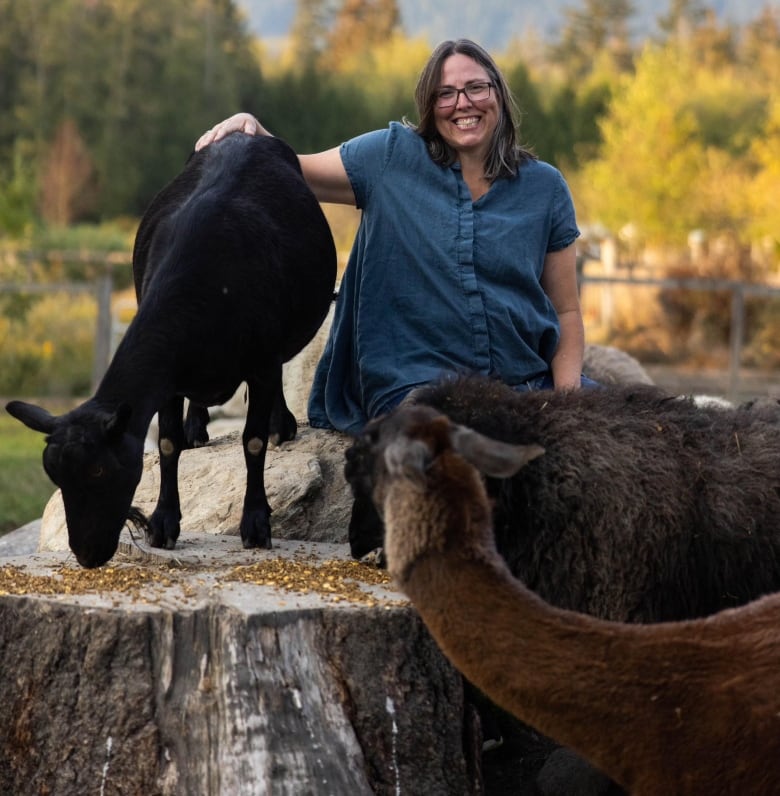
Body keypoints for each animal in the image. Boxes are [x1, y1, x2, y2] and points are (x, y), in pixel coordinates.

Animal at [6, 132, 336, 564]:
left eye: (99, 471)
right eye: (54, 474)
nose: (87, 555)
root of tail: (243, 134)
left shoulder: (261, 358)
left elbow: (253, 441)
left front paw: (256, 523)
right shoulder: (169, 377)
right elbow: (166, 441)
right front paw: (164, 523)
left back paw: (280, 423)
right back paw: (197, 425)